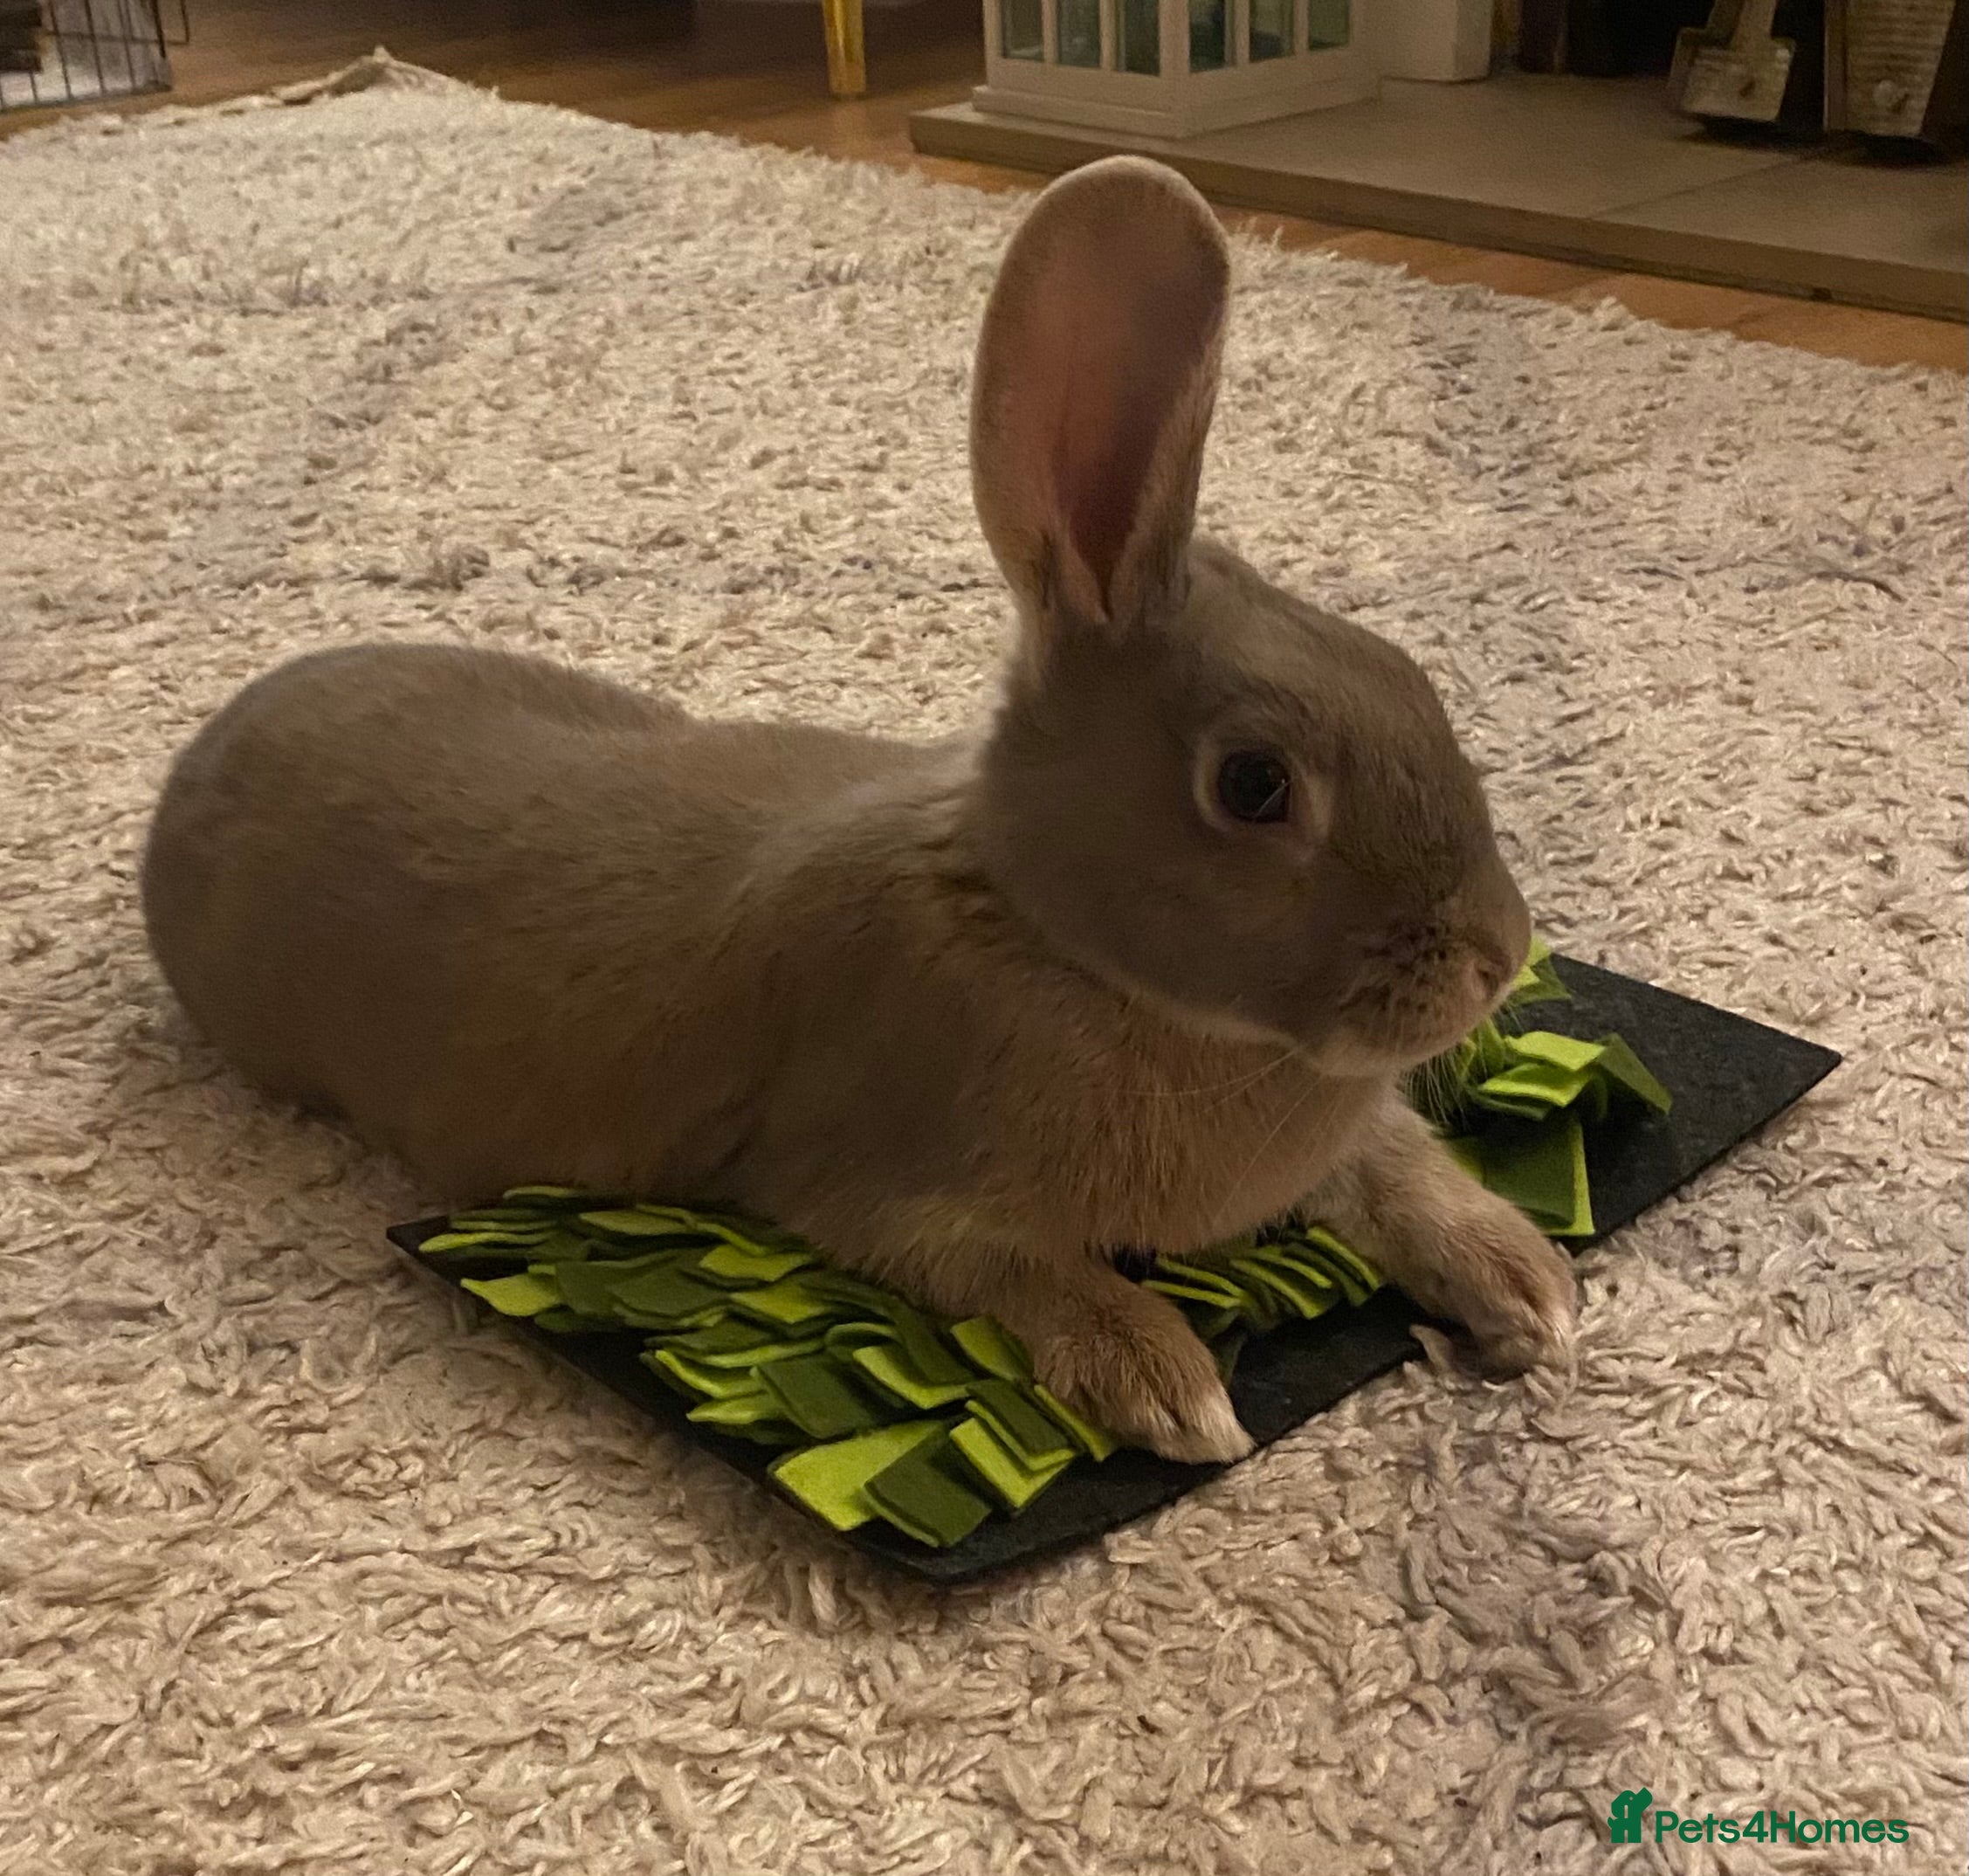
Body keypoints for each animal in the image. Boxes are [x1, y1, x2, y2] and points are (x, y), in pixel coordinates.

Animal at [141, 156, 1576, 1465]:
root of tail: (196, 769)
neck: (1053, 938)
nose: (1496, 957)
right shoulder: (874, 1185)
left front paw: (1524, 1285)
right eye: (1254, 785)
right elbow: (1021, 1271)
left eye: (1408, 676)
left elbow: (1388, 1164)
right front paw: (1167, 1390)